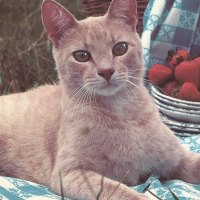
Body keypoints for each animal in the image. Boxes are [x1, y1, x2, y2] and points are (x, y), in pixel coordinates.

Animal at [0, 0, 200, 199]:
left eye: (120, 48)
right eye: (81, 55)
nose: (106, 71)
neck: (121, 114)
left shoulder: (177, 158)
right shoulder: (70, 174)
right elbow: (122, 192)